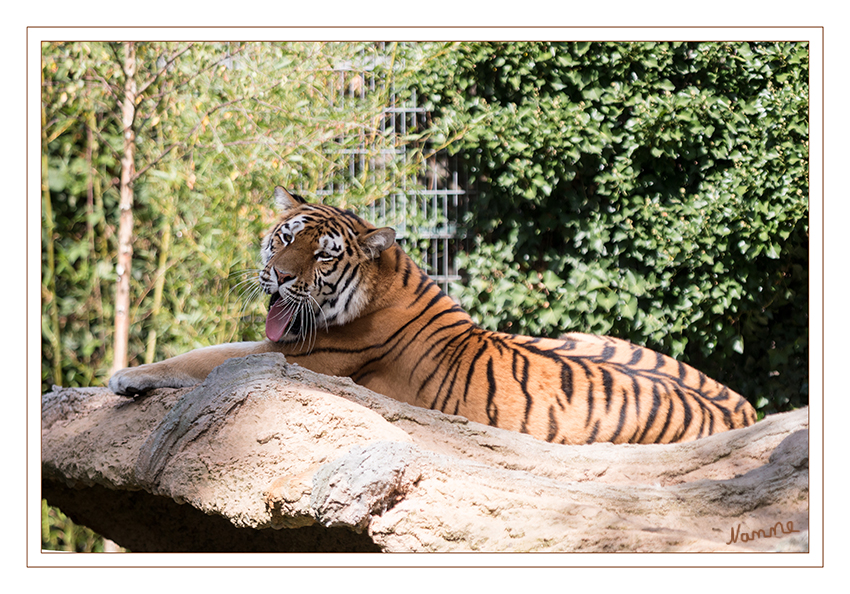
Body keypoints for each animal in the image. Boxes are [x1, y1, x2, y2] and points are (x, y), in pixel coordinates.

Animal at [107, 187, 756, 442]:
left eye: (321, 255)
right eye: (284, 239)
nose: (281, 277)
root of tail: (744, 412)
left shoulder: (304, 357)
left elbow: (207, 357)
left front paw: (125, 376)